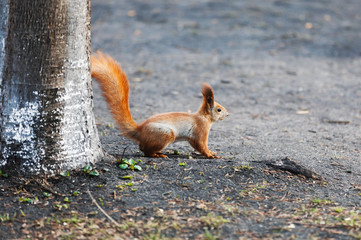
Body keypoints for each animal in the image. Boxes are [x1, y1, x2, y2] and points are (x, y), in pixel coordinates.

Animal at [90, 51, 228, 158]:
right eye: (219, 109)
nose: (228, 114)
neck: (203, 117)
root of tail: (140, 130)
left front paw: (212, 153)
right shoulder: (200, 129)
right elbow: (201, 145)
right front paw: (210, 155)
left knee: (142, 147)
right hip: (165, 134)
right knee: (146, 150)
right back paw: (157, 154)